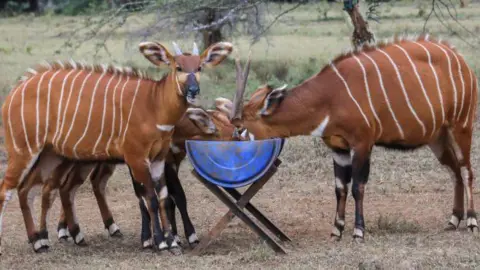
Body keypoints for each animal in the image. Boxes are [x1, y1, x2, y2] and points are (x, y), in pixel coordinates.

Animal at [0, 41, 232, 254]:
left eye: (199, 67)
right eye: (179, 67)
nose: (193, 90)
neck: (154, 104)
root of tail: (14, 92)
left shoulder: (158, 160)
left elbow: (164, 198)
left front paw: (172, 241)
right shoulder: (137, 158)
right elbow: (150, 199)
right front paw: (159, 242)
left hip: (53, 156)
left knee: (32, 189)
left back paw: (41, 241)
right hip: (23, 151)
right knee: (8, 189)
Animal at [218, 34, 480, 243]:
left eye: (240, 130)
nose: (233, 162)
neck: (329, 96)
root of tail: (461, 61)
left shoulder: (362, 144)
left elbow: (357, 187)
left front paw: (358, 232)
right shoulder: (338, 148)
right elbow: (340, 188)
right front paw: (336, 230)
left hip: (461, 126)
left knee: (466, 170)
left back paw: (471, 221)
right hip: (437, 138)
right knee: (454, 172)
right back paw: (453, 220)